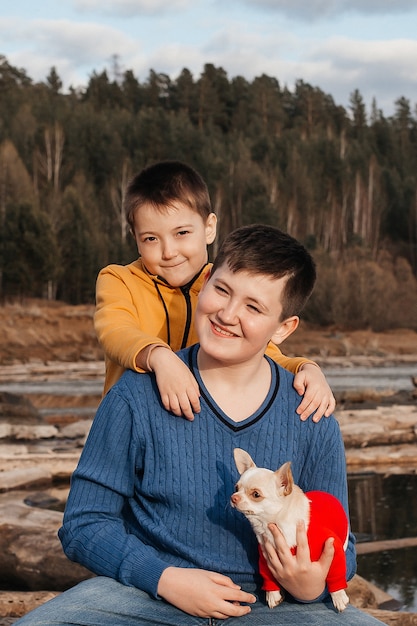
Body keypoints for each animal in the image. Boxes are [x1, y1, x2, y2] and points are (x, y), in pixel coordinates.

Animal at [229, 446, 350, 612]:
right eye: (236, 488)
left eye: (256, 494)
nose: (233, 497)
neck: (274, 524)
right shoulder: (265, 556)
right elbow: (267, 575)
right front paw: (272, 595)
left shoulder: (334, 547)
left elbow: (337, 572)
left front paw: (338, 596)